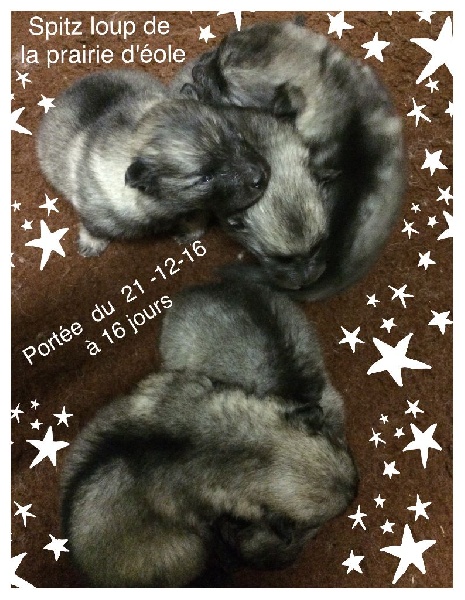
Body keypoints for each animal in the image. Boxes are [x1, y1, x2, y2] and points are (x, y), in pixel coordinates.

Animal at [37, 69, 270, 256]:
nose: (261, 177)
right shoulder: (93, 209)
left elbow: (197, 212)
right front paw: (92, 242)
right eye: (205, 177)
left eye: (237, 136)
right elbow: (93, 226)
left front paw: (192, 229)